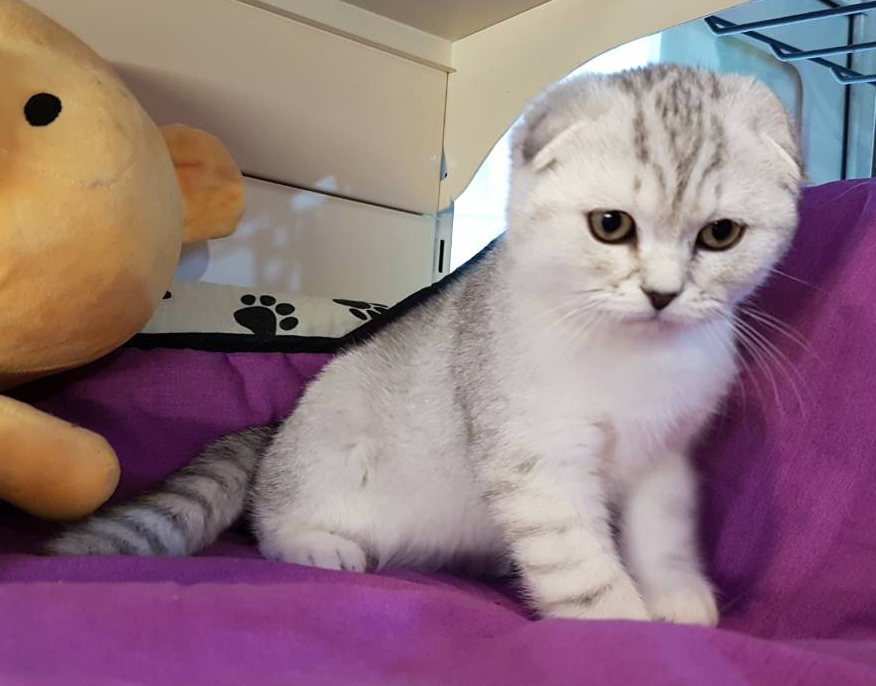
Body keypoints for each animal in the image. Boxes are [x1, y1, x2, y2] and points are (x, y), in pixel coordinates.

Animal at [49, 65, 802, 625]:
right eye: (611, 225)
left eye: (721, 234)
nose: (663, 293)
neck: (634, 359)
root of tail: (273, 433)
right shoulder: (539, 462)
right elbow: (583, 570)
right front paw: (622, 627)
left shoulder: (663, 458)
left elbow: (664, 537)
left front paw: (676, 597)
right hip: (328, 459)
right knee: (268, 522)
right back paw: (320, 546)